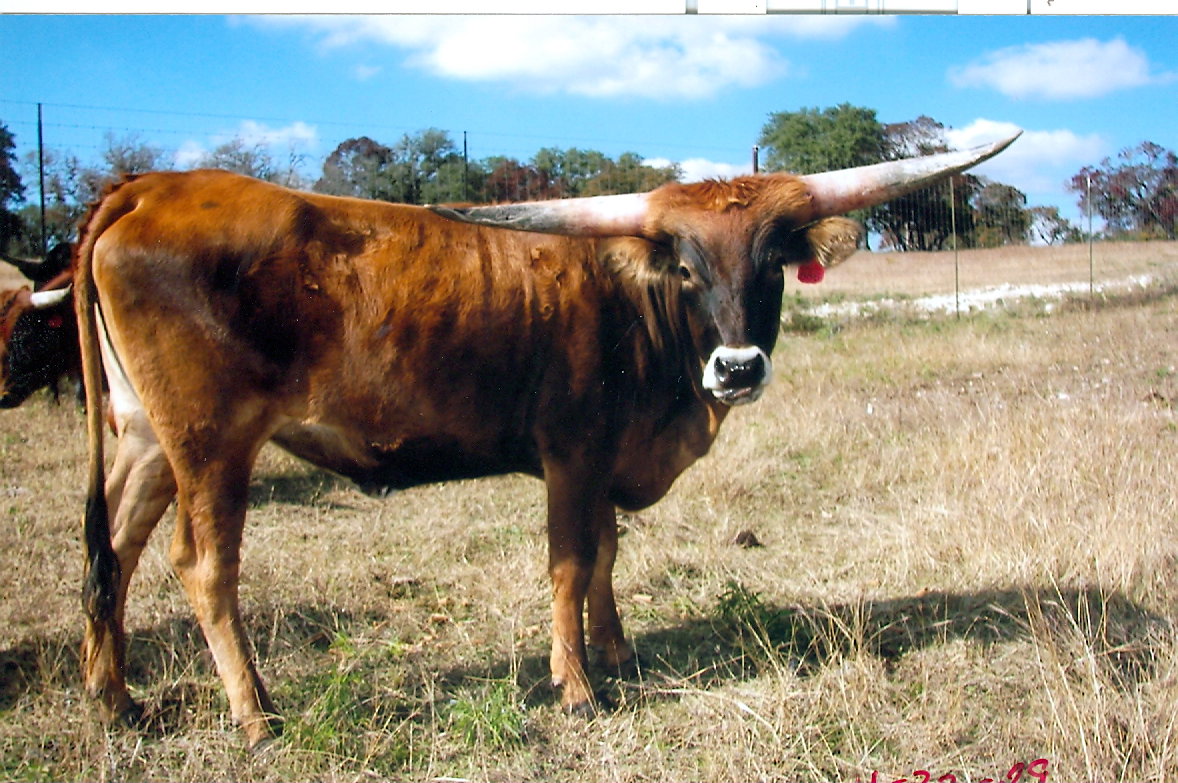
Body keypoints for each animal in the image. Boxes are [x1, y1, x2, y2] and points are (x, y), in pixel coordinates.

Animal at [73, 134, 1017, 749]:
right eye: (686, 265)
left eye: (773, 264)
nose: (738, 367)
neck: (636, 309)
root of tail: (151, 186)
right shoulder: (572, 453)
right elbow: (571, 562)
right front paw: (577, 686)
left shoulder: (604, 458)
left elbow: (606, 554)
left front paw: (618, 650)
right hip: (210, 443)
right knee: (203, 567)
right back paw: (255, 714)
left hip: (147, 441)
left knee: (112, 552)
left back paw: (116, 700)